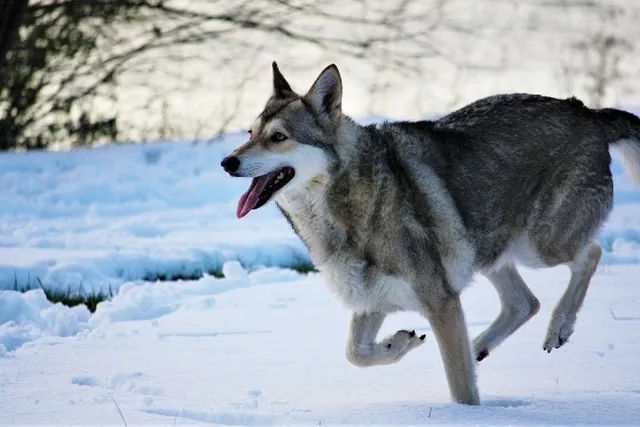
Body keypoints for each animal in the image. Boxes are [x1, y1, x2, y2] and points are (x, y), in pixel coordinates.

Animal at [220, 62, 640, 405]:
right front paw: (399, 343)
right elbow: (355, 353)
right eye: (249, 133)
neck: (348, 200)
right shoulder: (374, 296)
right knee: (525, 302)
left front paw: (466, 415)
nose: (227, 162)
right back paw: (479, 347)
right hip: (486, 251)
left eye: (278, 137)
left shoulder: (440, 301)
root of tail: (585, 110)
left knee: (590, 255)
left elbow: (461, 388)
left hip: (538, 246)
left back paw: (558, 329)